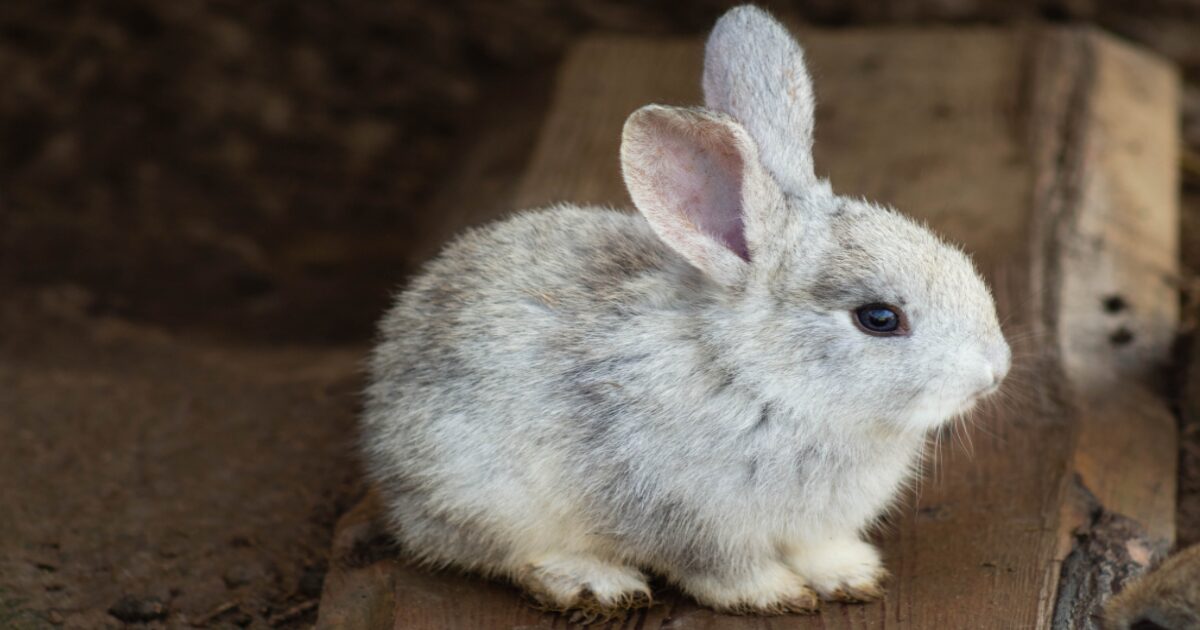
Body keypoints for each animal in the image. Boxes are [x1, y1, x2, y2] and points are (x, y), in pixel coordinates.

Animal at [362, 2, 1012, 614]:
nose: (995, 370)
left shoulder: (812, 526)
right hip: (483, 490)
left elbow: (819, 549)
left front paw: (852, 576)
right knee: (509, 553)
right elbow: (721, 570)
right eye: (878, 318)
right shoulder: (688, 518)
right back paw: (596, 583)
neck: (762, 380)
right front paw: (775, 594)